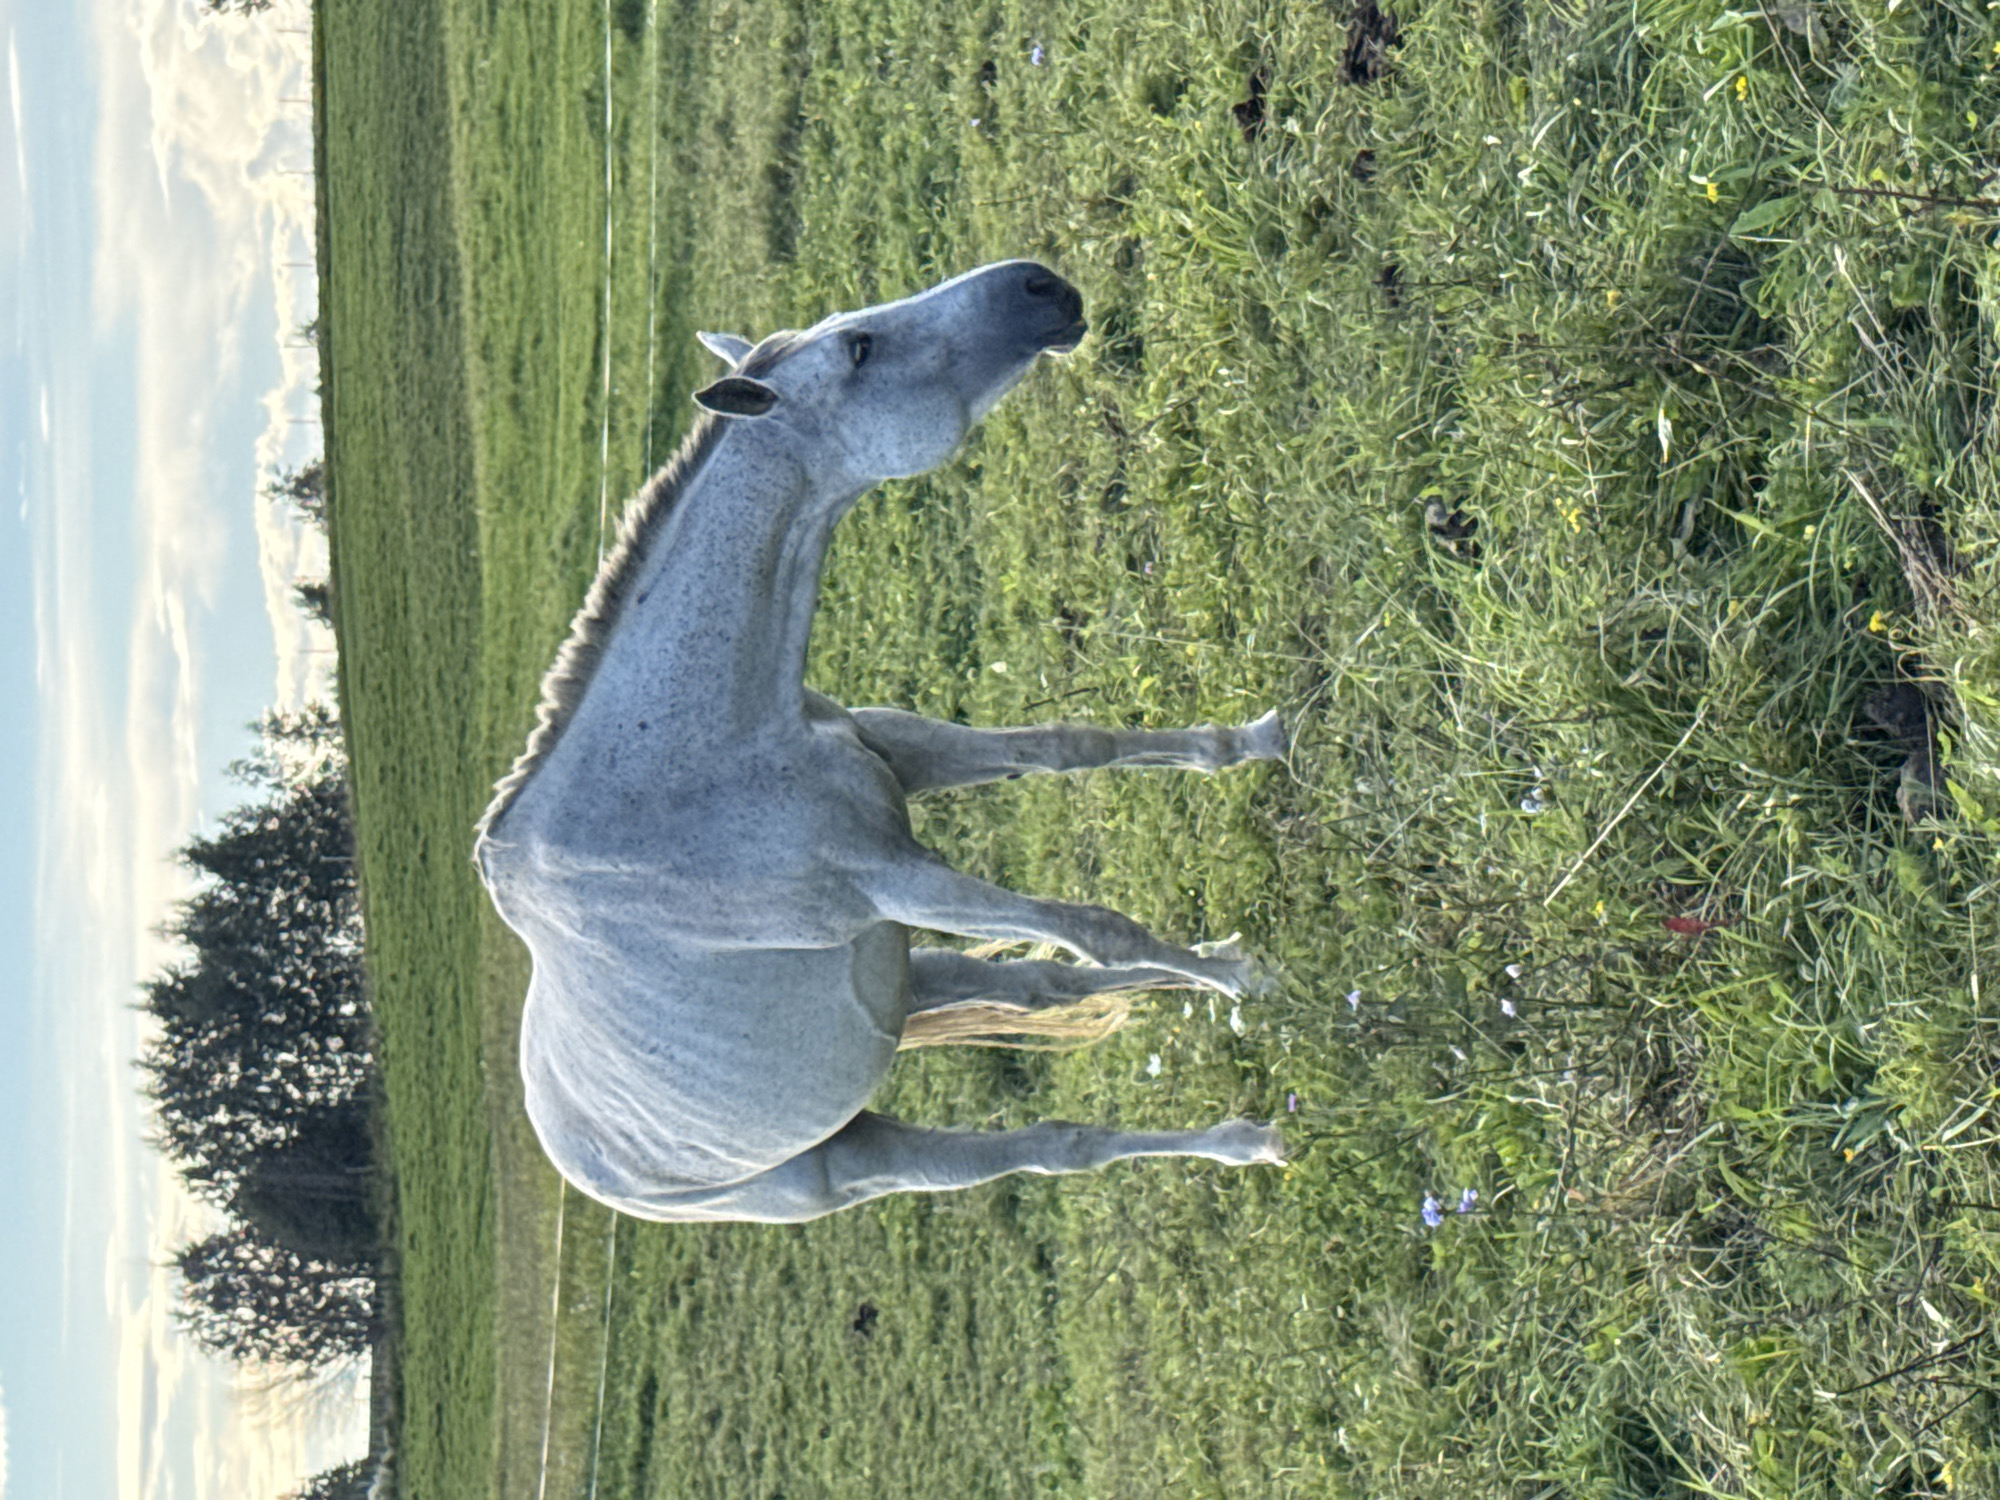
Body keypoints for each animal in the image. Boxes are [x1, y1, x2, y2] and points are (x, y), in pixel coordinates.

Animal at [473, 262, 1286, 1224]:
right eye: (860, 349)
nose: (1040, 284)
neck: (690, 766)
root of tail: (586, 1166)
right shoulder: (892, 879)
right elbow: (1097, 929)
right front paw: (1255, 984)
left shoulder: (904, 756)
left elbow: (1071, 748)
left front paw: (1255, 742)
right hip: (847, 1159)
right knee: (1049, 1142)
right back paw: (1245, 1125)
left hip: (903, 973)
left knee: (1044, 988)